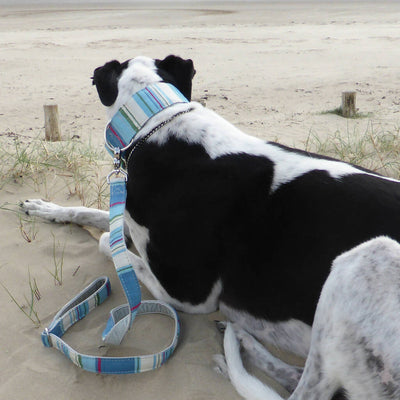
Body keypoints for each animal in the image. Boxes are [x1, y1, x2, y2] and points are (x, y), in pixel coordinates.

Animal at [23, 54, 400, 398]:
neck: (160, 123)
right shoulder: (134, 222)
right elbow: (93, 214)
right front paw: (44, 208)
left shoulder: (188, 295)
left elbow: (110, 244)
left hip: (366, 259)